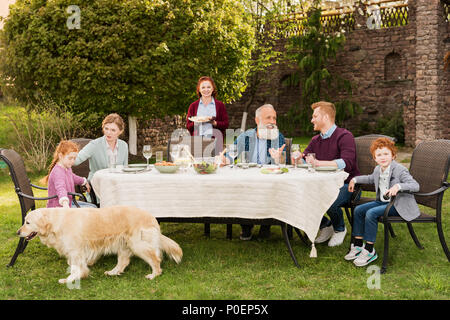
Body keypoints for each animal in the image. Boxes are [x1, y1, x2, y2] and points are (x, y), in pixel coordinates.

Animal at [17, 205, 183, 282]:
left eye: (28, 222)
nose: (18, 232)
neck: (56, 223)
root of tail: (151, 217)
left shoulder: (75, 251)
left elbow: (76, 268)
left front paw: (70, 279)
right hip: (123, 244)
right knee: (123, 262)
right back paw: (113, 272)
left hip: (137, 244)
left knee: (155, 259)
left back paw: (154, 274)